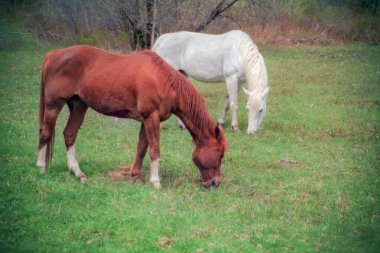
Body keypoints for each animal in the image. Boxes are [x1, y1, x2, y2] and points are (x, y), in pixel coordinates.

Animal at [36, 45, 226, 188]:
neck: (163, 81)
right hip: (53, 106)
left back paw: (78, 173)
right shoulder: (151, 117)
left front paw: (135, 176)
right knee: (45, 133)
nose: (215, 183)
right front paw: (155, 182)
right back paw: (41, 168)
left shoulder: (146, 120)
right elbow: (154, 150)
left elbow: (141, 148)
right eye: (219, 154)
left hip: (78, 106)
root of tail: (53, 54)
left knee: (69, 134)